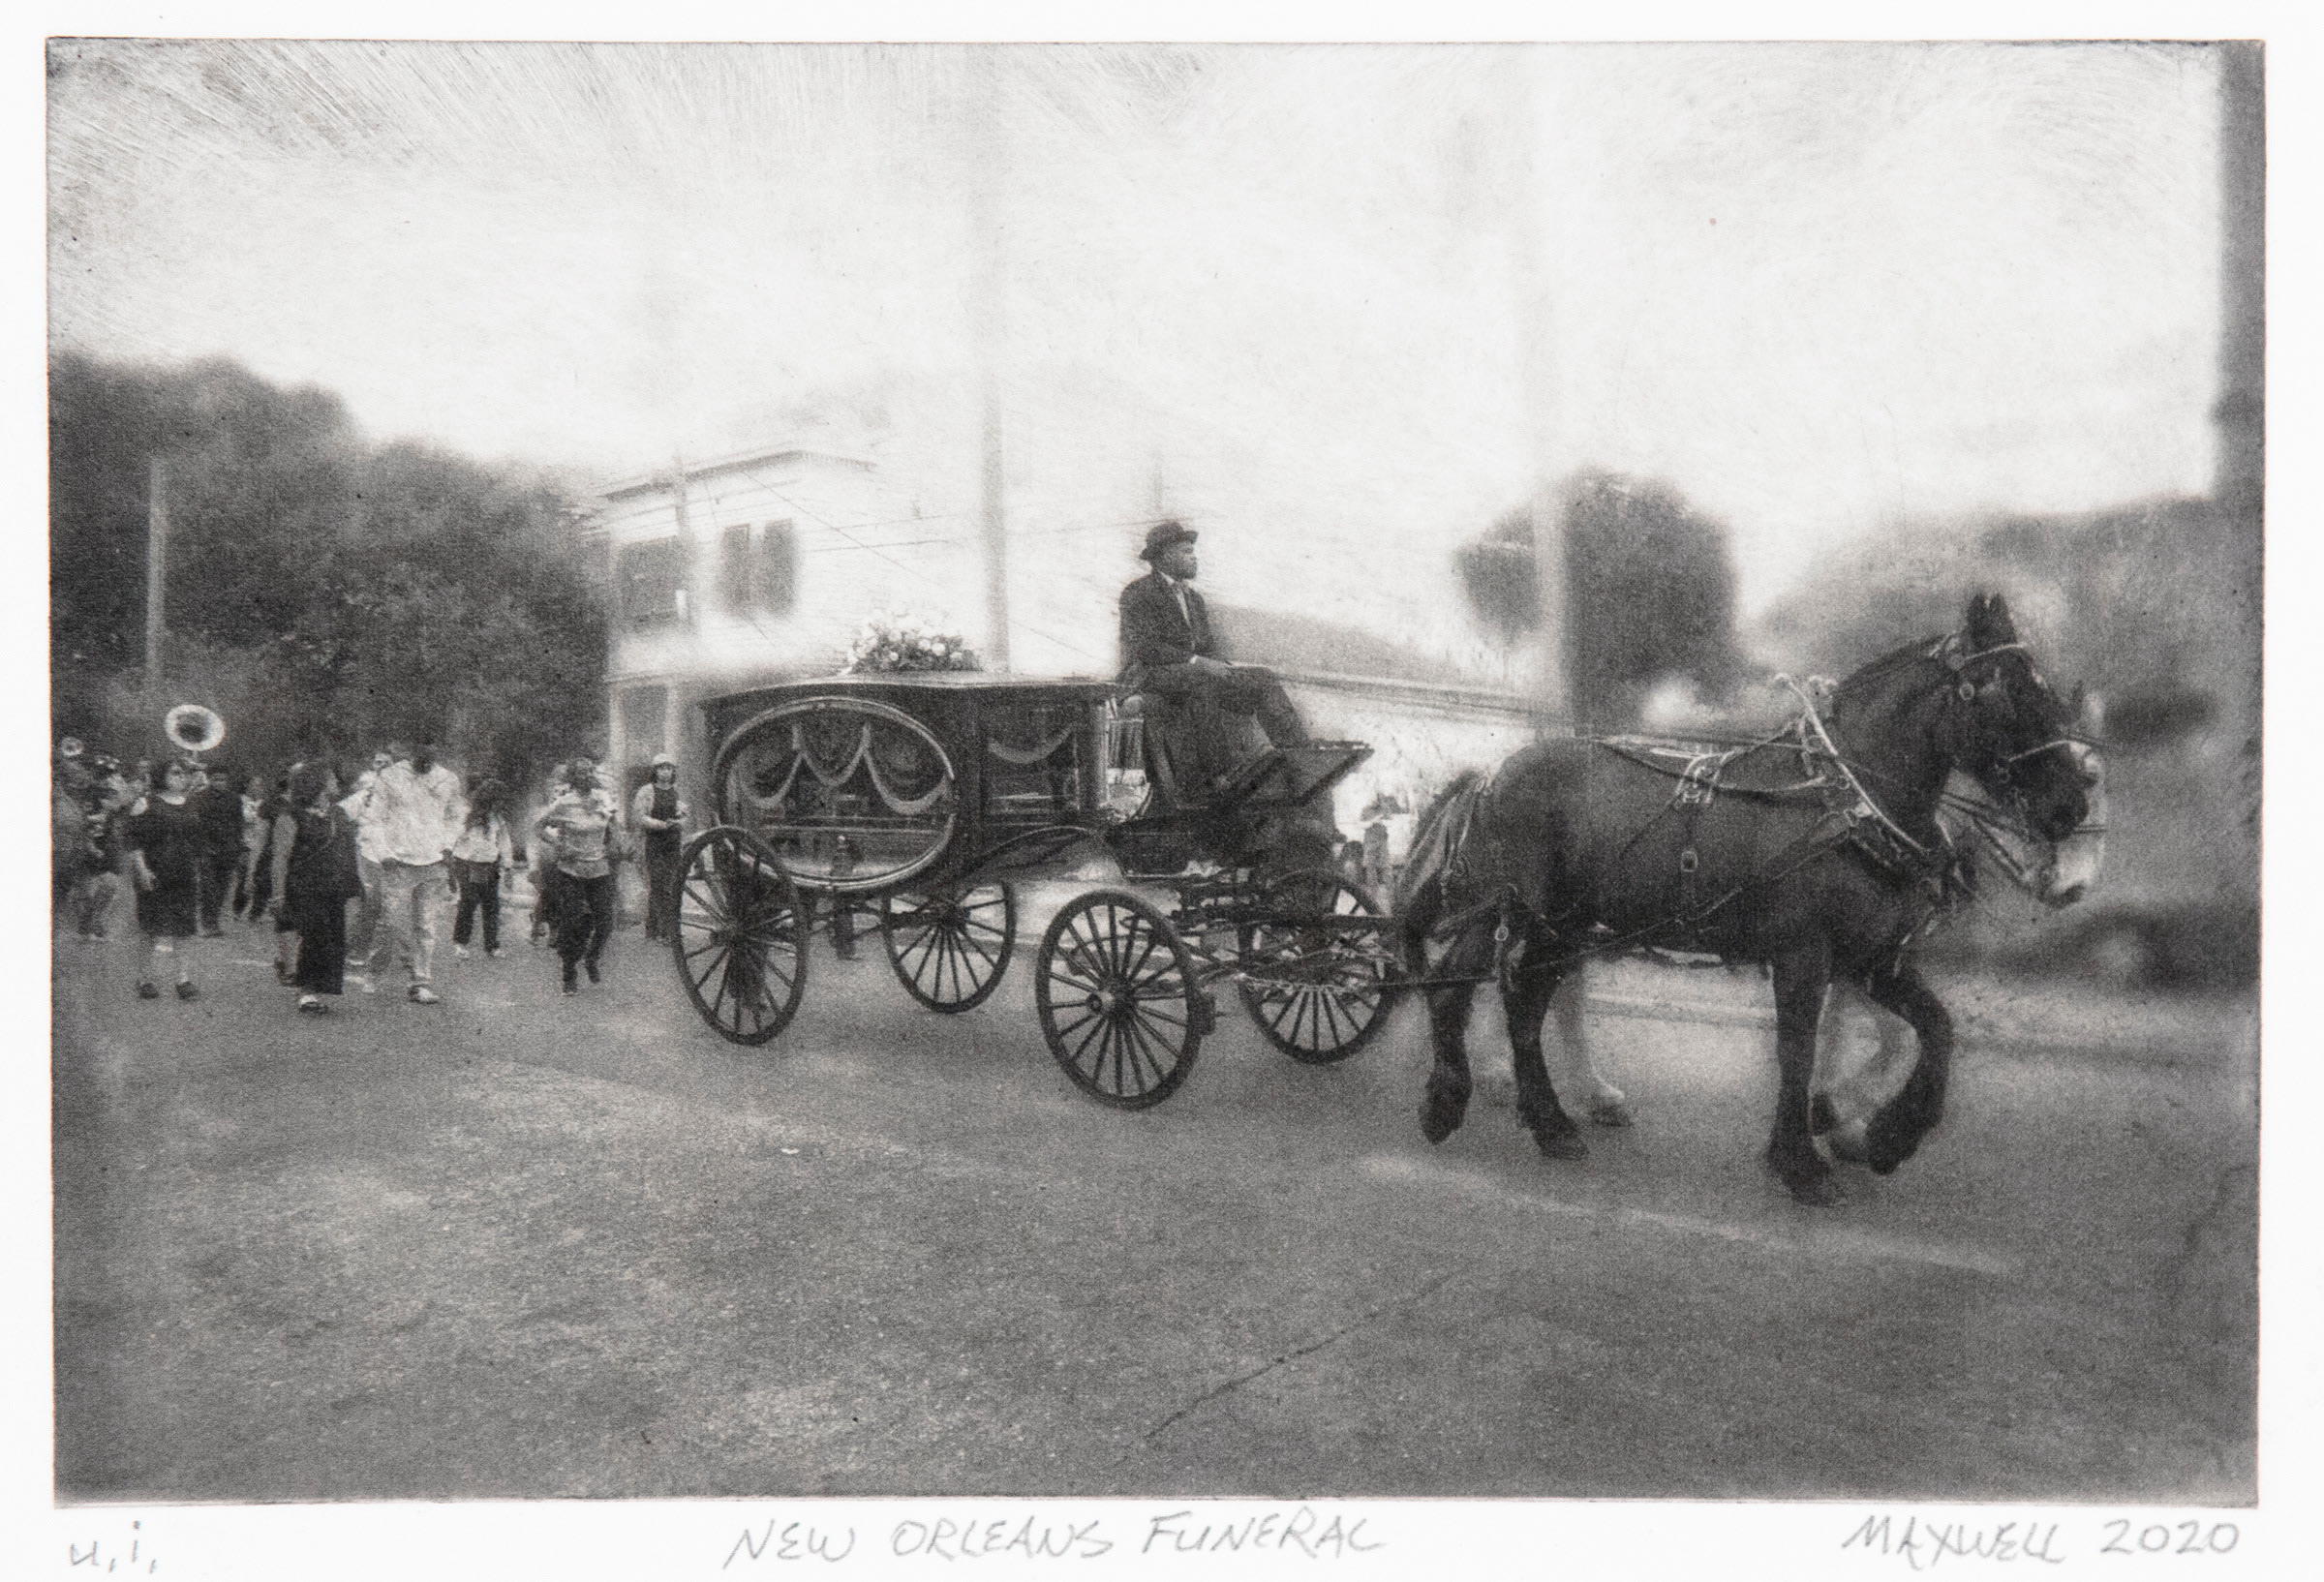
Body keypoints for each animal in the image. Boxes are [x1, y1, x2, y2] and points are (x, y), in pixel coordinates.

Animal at [1385, 599, 2100, 1199]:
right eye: (2011, 690)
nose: (2069, 806)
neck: (1847, 805)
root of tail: (1493, 773)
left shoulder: (1875, 958)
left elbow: (1936, 1029)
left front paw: (1886, 1136)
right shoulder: (1805, 953)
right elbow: (1799, 1049)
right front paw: (1801, 1159)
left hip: (1562, 926)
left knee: (1526, 1007)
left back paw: (1553, 1122)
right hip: (1507, 910)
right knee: (1455, 987)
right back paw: (1448, 1099)